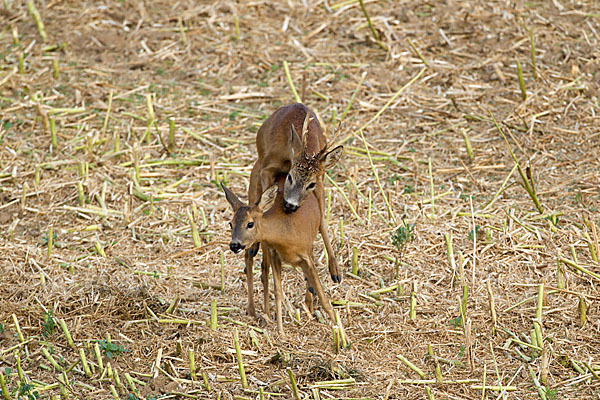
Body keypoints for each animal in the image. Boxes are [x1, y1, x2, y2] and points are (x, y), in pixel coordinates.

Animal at [220, 178, 336, 334]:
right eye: (230, 224)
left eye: (250, 224)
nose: (234, 245)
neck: (286, 235)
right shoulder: (275, 255)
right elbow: (278, 292)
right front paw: (281, 332)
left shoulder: (306, 257)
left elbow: (323, 297)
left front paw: (340, 332)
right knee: (257, 266)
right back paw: (257, 312)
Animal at [248, 104, 342, 282]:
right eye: (290, 177)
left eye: (310, 184)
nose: (290, 205)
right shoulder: (267, 167)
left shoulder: (320, 181)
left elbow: (322, 221)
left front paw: (335, 270)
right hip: (258, 162)